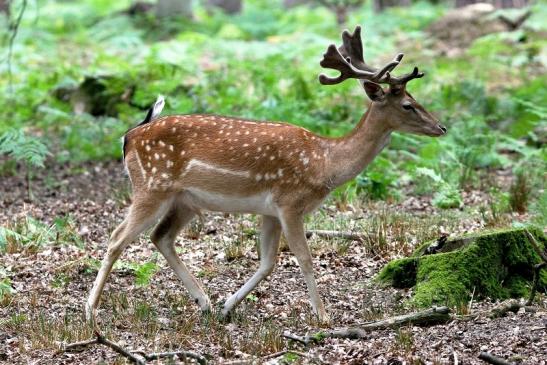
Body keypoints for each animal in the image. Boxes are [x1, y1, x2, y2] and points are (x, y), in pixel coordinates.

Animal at [84, 27, 446, 326]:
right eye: (408, 105)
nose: (441, 127)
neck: (325, 164)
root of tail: (129, 136)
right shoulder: (290, 202)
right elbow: (304, 258)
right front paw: (324, 317)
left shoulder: (269, 210)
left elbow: (268, 262)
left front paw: (228, 306)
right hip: (151, 185)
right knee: (117, 238)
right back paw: (90, 310)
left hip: (184, 200)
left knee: (161, 236)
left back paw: (205, 303)